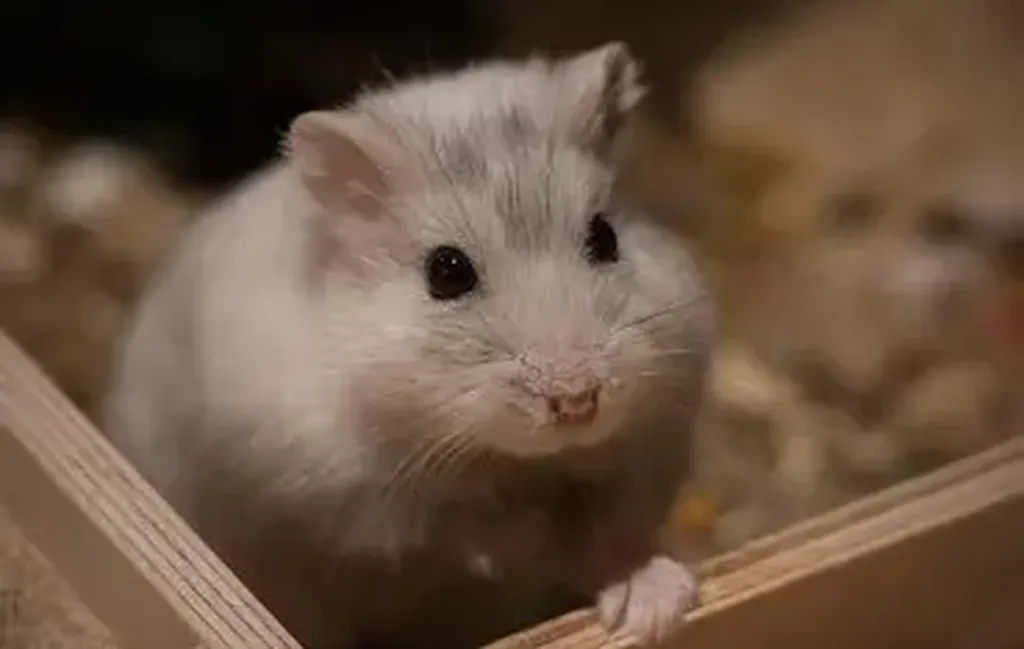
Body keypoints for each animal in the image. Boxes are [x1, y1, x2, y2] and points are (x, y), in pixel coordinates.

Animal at [103, 42, 715, 649]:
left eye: (604, 237)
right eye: (446, 272)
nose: (576, 401)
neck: (515, 460)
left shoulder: (648, 446)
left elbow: (610, 531)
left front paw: (654, 607)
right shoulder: (357, 497)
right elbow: (461, 526)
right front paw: (537, 527)